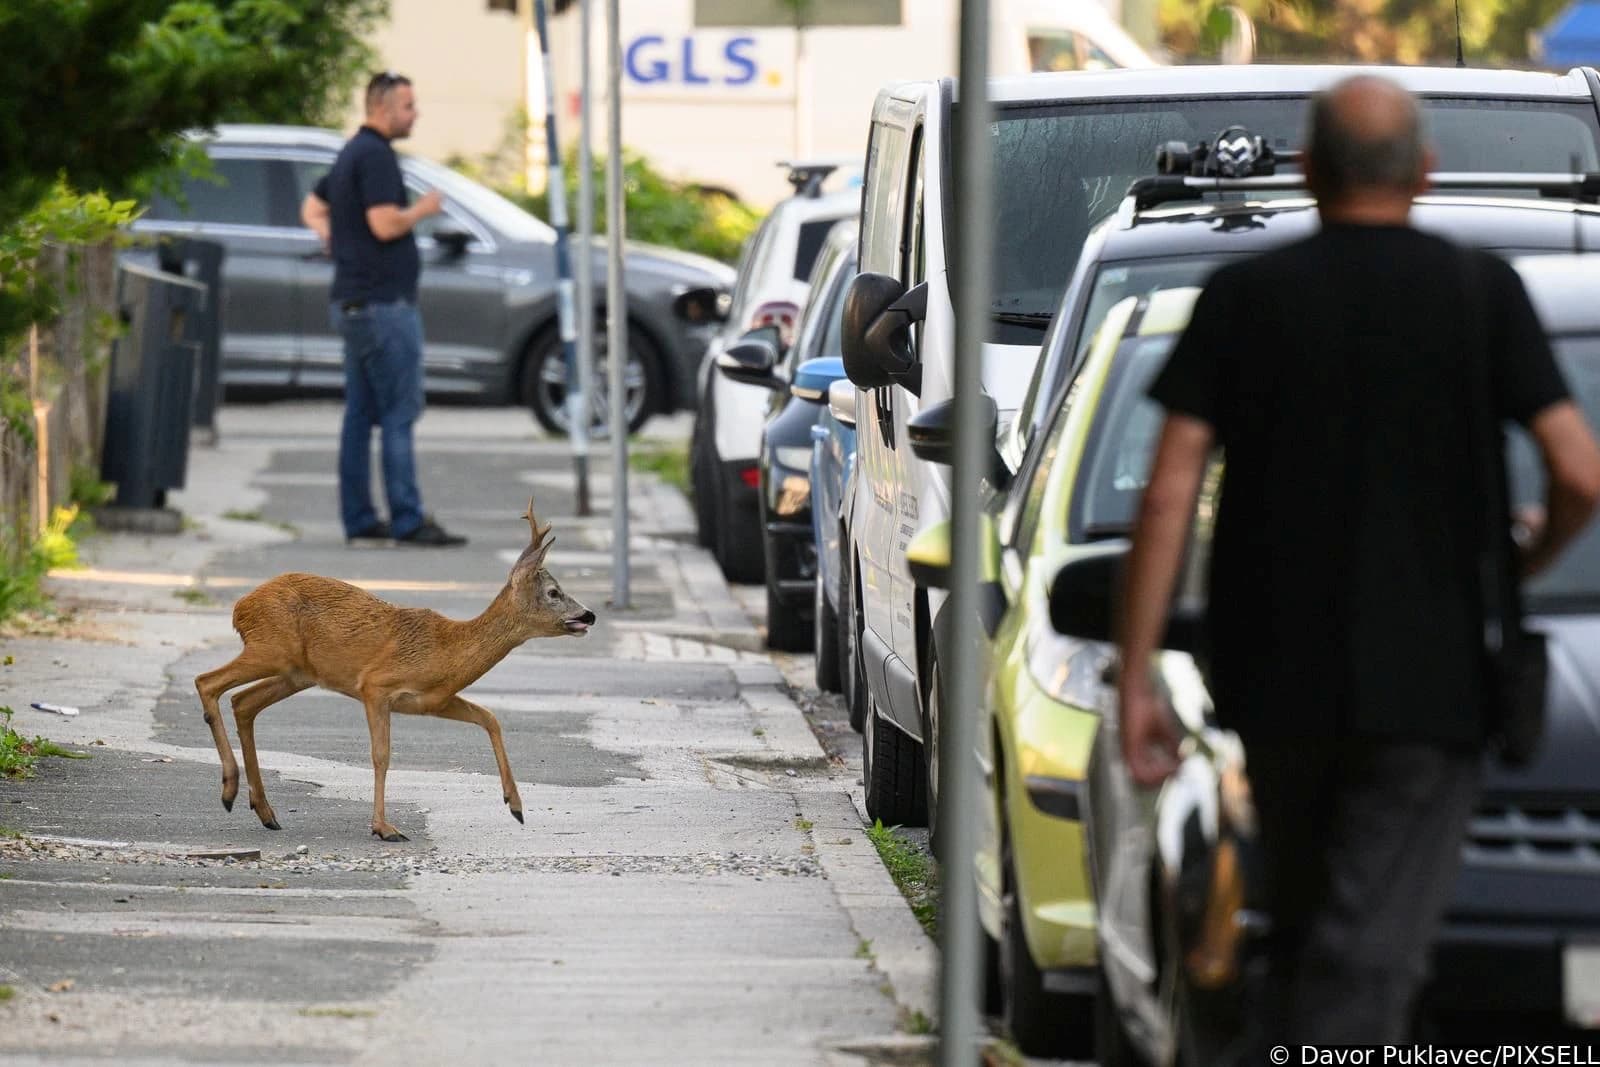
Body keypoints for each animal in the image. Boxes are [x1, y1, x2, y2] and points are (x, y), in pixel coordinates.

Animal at [194, 502, 595, 844]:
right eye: (554, 592)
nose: (589, 615)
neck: (447, 649)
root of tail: (240, 606)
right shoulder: (375, 686)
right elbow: (381, 755)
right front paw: (384, 828)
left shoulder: (433, 701)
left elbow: (490, 718)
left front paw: (516, 806)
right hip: (271, 650)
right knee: (207, 682)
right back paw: (230, 789)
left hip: (296, 673)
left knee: (243, 702)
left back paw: (264, 811)